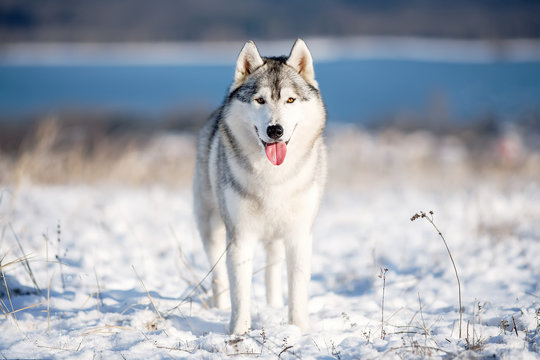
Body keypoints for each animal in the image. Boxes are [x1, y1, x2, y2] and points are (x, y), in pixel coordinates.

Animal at [195, 38, 326, 334]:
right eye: (259, 100)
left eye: (290, 99)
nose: (275, 130)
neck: (273, 178)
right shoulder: (240, 237)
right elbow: (240, 294)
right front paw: (238, 333)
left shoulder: (299, 235)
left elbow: (297, 292)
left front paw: (299, 330)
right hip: (211, 228)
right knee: (218, 277)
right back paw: (220, 308)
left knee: (272, 271)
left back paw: (273, 306)